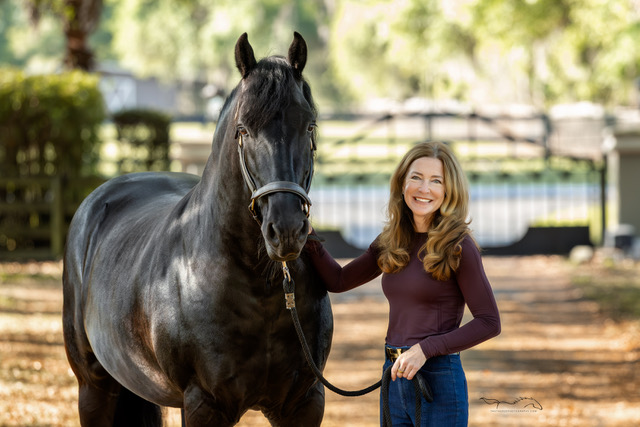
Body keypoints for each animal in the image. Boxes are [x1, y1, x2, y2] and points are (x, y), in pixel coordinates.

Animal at [62, 32, 333, 427]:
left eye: (309, 126)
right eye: (242, 129)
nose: (285, 230)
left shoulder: (305, 402)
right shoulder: (205, 404)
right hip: (94, 388)